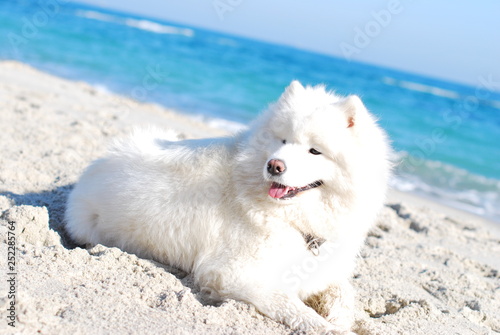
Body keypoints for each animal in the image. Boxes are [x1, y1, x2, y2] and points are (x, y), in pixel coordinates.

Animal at [64, 80, 390, 334]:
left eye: (314, 151)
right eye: (282, 140)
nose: (274, 165)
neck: (292, 217)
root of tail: (94, 167)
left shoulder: (324, 268)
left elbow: (344, 295)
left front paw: (342, 319)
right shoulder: (234, 273)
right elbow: (294, 307)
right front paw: (329, 327)